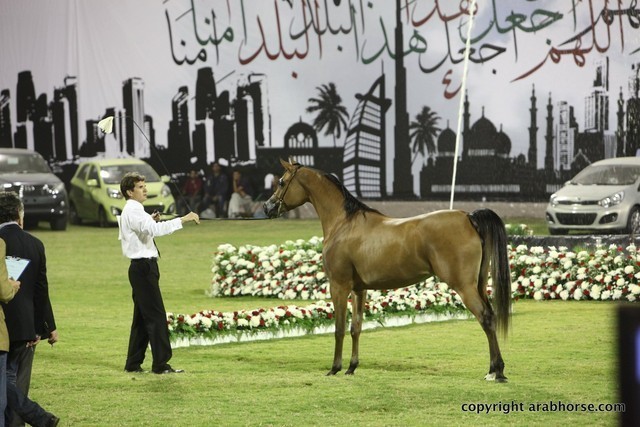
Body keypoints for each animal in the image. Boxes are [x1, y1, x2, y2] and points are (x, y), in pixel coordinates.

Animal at [263, 159, 512, 382]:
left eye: (282, 182)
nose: (268, 207)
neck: (345, 223)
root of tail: (468, 217)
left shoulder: (339, 286)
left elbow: (339, 328)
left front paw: (335, 368)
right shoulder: (359, 289)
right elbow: (356, 327)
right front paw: (351, 367)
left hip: (464, 287)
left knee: (485, 318)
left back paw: (496, 372)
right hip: (478, 284)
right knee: (490, 316)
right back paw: (494, 369)